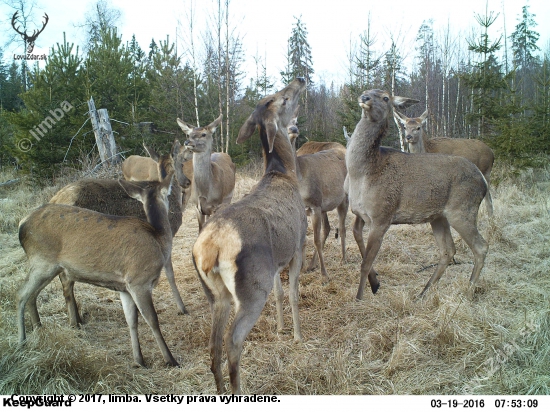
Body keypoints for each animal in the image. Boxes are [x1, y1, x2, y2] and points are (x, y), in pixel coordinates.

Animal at [17, 172, 179, 366]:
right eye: (168, 195)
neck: (158, 239)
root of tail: (21, 224)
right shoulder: (139, 281)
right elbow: (152, 320)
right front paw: (170, 359)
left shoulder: (123, 288)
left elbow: (131, 321)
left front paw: (139, 360)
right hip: (41, 262)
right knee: (20, 295)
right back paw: (22, 341)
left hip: (47, 268)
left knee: (31, 295)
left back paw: (38, 331)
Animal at [192, 78, 308, 396]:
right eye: (282, 99)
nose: (300, 79)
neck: (286, 174)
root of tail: (210, 248)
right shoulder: (298, 245)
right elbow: (293, 294)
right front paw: (296, 335)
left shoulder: (276, 262)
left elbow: (280, 294)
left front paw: (281, 329)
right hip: (252, 288)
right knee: (232, 340)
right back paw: (237, 390)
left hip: (216, 293)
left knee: (213, 344)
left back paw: (220, 391)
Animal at [288, 111, 350, 282]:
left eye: (296, 121)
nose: (293, 129)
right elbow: (304, 240)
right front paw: (302, 267)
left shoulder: (315, 204)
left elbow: (314, 240)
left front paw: (325, 274)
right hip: (324, 206)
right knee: (328, 228)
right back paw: (311, 264)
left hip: (343, 198)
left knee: (342, 227)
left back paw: (343, 258)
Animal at [350, 89, 492, 300]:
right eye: (366, 91)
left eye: (385, 97)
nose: (364, 98)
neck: (361, 173)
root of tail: (482, 179)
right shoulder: (360, 213)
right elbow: (356, 237)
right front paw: (375, 283)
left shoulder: (382, 214)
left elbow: (365, 262)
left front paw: (360, 297)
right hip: (439, 216)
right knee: (448, 251)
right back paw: (423, 292)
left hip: (462, 209)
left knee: (481, 246)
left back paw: (468, 289)